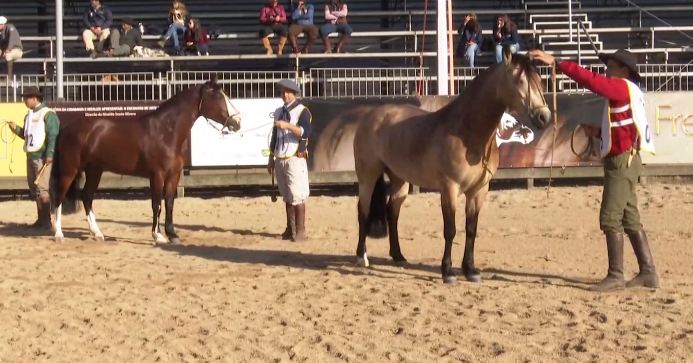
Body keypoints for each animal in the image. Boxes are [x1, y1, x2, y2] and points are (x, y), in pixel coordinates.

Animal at [50, 77, 241, 246]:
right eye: (218, 97)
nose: (237, 122)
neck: (166, 131)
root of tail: (67, 128)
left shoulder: (174, 175)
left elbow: (169, 203)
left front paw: (173, 235)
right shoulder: (157, 175)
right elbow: (156, 204)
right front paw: (158, 236)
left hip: (94, 171)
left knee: (87, 197)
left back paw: (97, 234)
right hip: (69, 171)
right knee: (59, 197)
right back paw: (59, 234)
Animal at [354, 48, 556, 286]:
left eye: (540, 80)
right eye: (520, 80)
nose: (543, 117)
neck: (467, 133)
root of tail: (371, 115)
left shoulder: (479, 191)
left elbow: (471, 230)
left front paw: (471, 270)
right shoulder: (450, 189)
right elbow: (450, 230)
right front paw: (448, 272)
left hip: (399, 180)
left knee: (392, 212)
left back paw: (398, 256)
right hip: (368, 177)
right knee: (363, 211)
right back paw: (361, 257)